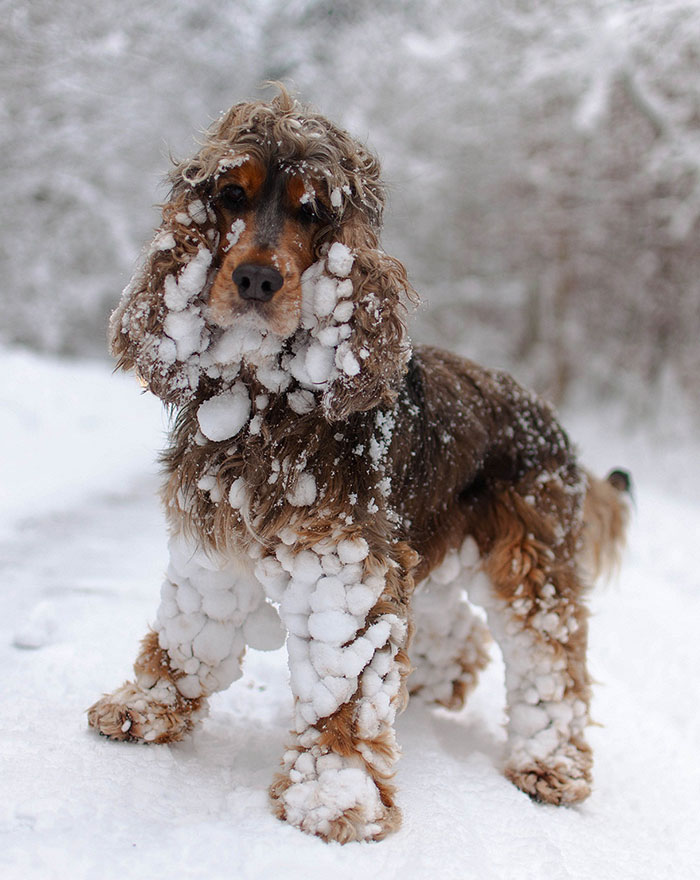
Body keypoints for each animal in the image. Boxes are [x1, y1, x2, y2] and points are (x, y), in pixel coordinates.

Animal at [87, 86, 628, 844]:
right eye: (230, 194)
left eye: (313, 210)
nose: (256, 278)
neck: (267, 400)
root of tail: (553, 421)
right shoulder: (212, 540)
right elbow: (189, 631)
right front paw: (147, 705)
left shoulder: (345, 567)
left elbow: (343, 688)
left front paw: (332, 797)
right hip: (429, 540)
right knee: (459, 627)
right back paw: (434, 684)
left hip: (530, 560)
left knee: (552, 661)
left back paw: (551, 765)